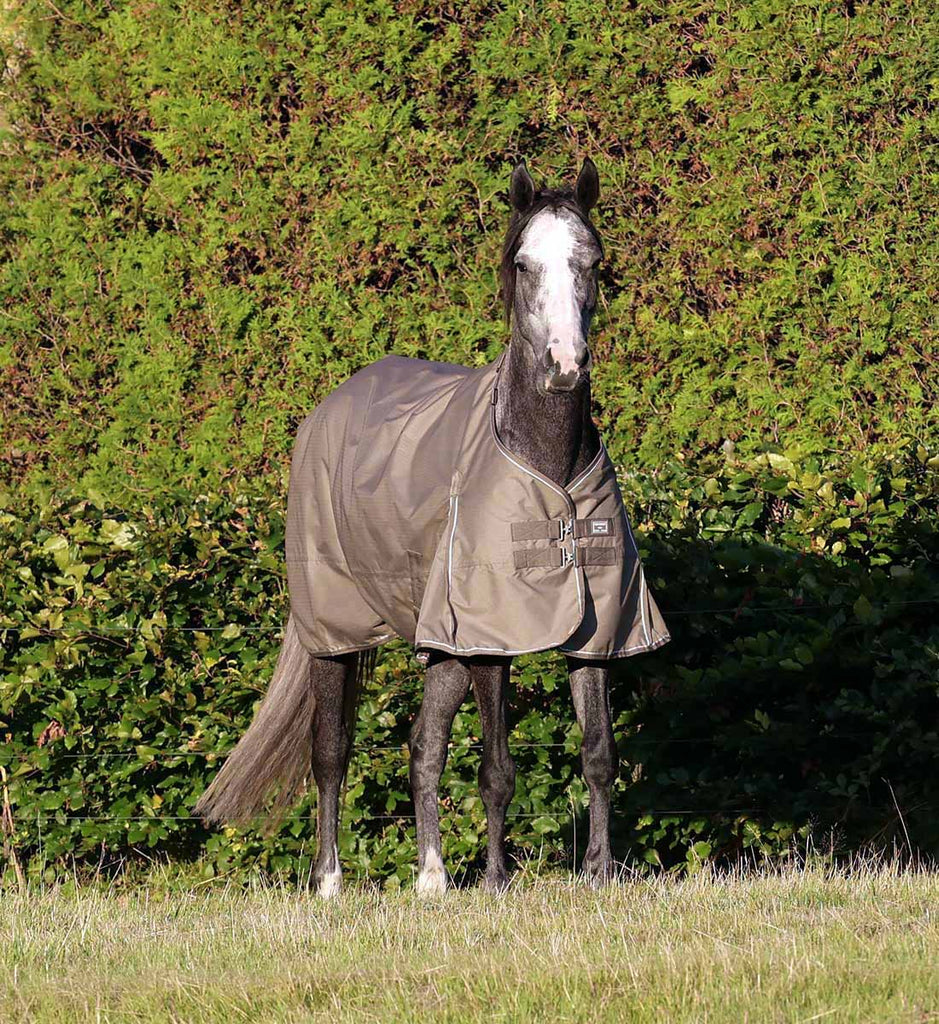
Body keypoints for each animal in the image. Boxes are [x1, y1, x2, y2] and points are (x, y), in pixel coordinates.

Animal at [195, 157, 667, 897]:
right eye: (524, 263)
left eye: (593, 260)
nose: (565, 367)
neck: (547, 467)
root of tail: (327, 410)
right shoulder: (489, 641)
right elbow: (498, 769)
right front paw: (498, 881)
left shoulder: (594, 633)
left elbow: (598, 754)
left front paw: (598, 874)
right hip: (335, 632)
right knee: (331, 751)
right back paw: (329, 881)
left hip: (439, 641)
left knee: (422, 745)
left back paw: (432, 877)